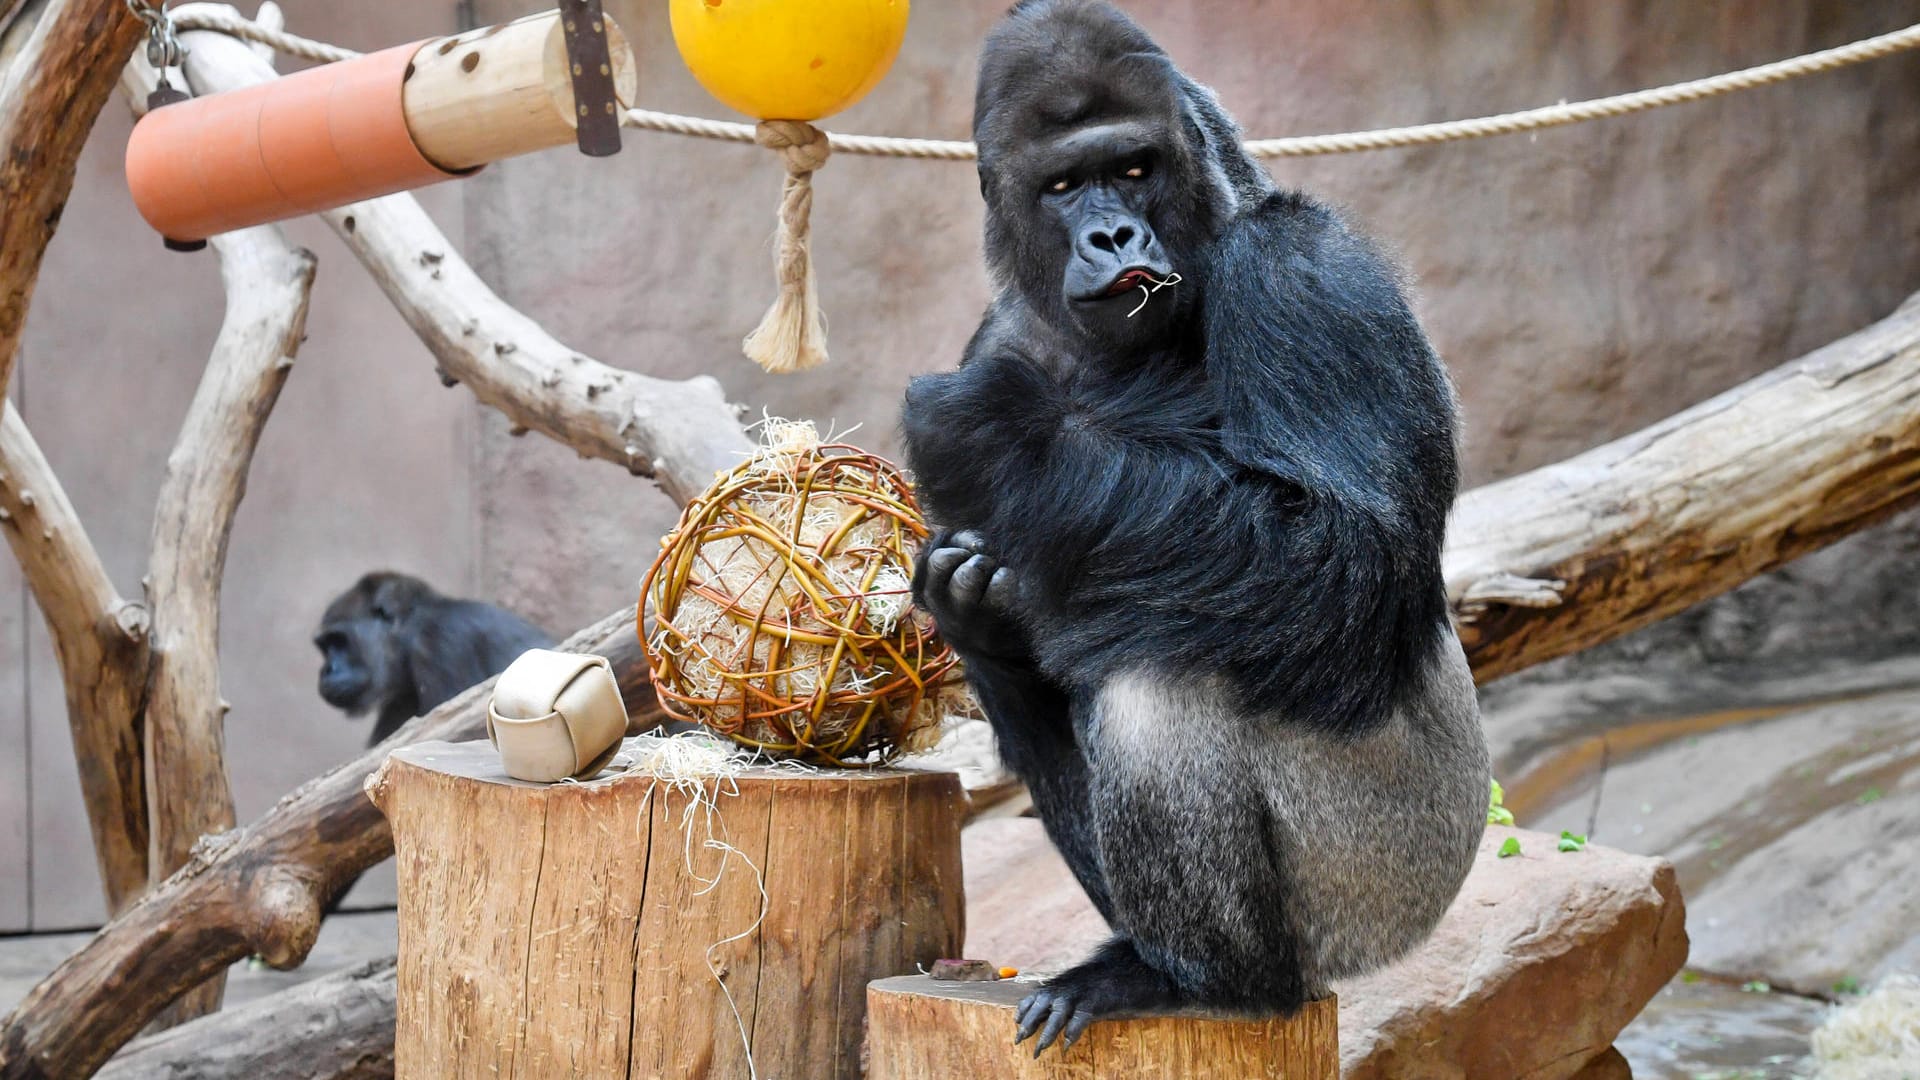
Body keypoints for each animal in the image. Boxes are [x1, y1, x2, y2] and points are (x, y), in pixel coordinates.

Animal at [902, 0, 1497, 1053]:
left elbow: (1346, 562)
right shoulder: (998, 331)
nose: (1112, 234)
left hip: (1384, 893)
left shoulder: (1307, 266)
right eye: (1063, 186)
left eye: (1136, 166)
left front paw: (996, 429)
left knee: (1163, 683)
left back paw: (1207, 978)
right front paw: (978, 619)